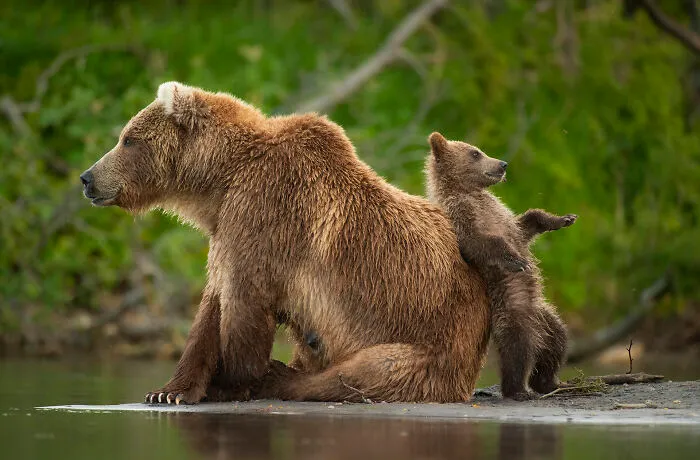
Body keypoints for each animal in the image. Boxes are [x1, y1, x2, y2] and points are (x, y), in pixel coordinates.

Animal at [80, 82, 491, 404]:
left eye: (127, 139)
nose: (87, 177)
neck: (220, 181)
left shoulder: (267, 215)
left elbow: (244, 303)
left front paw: (228, 382)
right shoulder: (228, 228)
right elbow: (211, 306)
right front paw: (169, 390)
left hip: (433, 338)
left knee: (369, 371)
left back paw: (280, 376)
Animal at [424, 132, 576, 400]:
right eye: (475, 153)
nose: (503, 164)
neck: (469, 192)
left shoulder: (504, 217)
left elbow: (527, 223)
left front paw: (563, 219)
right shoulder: (461, 218)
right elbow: (482, 242)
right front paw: (517, 260)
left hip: (545, 316)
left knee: (557, 341)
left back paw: (550, 383)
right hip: (513, 309)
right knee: (518, 349)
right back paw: (518, 390)